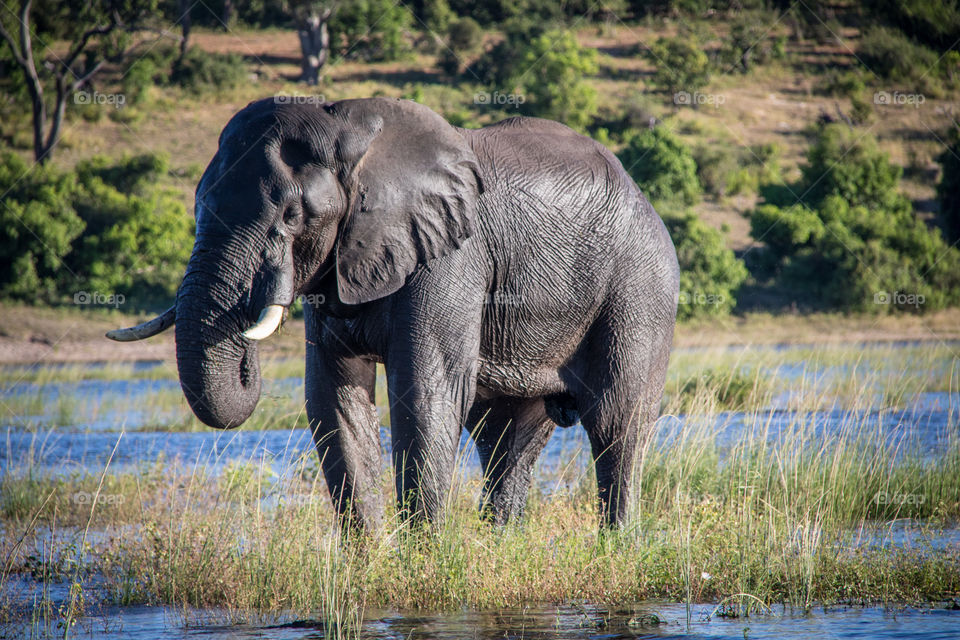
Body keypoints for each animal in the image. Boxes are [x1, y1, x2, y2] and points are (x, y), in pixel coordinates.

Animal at [108, 97, 679, 530]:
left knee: (616, 420)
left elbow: (425, 392)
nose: (248, 358)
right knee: (505, 436)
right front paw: (369, 563)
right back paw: (503, 546)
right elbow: (331, 398)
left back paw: (617, 547)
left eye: (292, 216)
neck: (352, 137)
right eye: (196, 207)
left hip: (640, 286)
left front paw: (424, 564)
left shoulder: (451, 254)